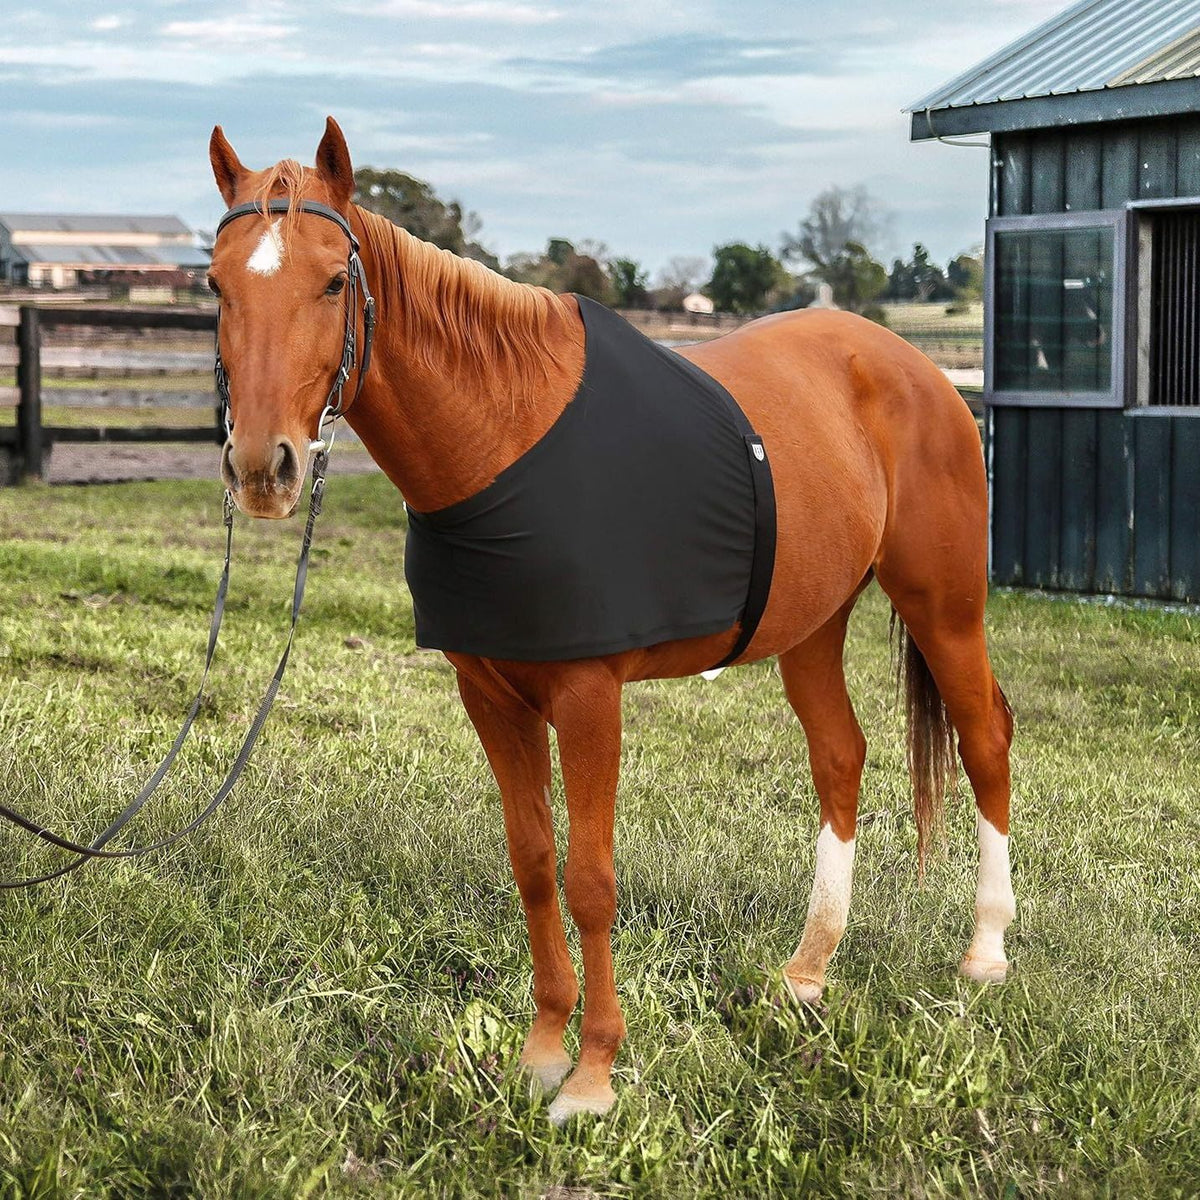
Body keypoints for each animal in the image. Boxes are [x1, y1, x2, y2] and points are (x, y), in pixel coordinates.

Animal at [206, 117, 1015, 1124]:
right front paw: (542, 1052)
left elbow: (591, 881)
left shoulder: (590, 699)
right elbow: (533, 863)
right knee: (841, 755)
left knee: (985, 739)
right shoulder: (491, 698)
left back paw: (985, 953)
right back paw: (807, 971)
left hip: (945, 607)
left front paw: (591, 1077)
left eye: (330, 281)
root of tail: (916, 369)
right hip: (812, 627)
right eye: (216, 284)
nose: (262, 468)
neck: (505, 439)